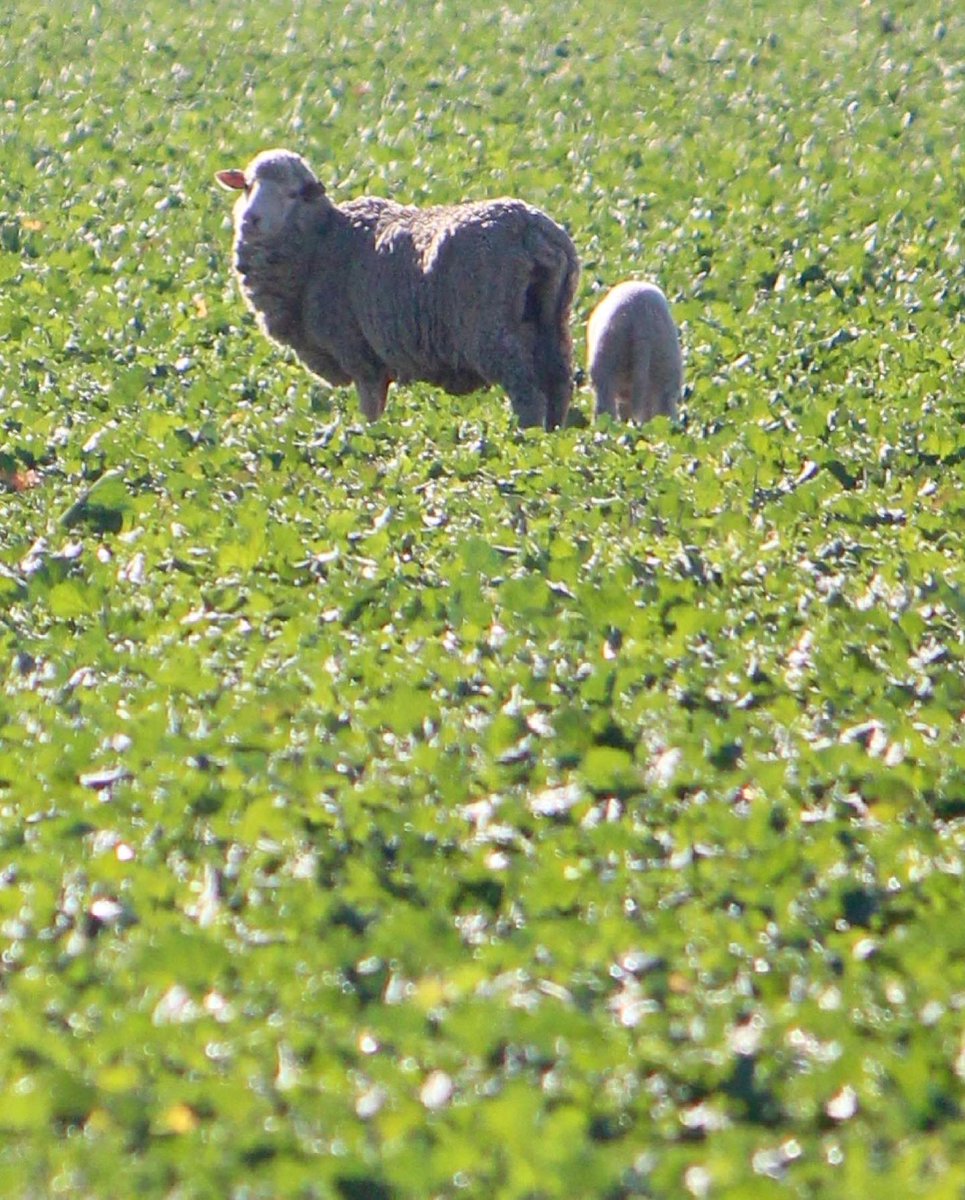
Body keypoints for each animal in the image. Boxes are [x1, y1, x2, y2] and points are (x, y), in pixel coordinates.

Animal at [215, 149, 580, 429]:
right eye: (247, 186)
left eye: (291, 194)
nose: (250, 220)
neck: (320, 243)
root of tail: (532, 229)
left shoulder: (359, 353)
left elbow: (371, 411)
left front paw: (370, 438)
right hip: (552, 322)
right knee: (559, 383)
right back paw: (552, 437)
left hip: (490, 330)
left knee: (528, 392)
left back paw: (525, 438)